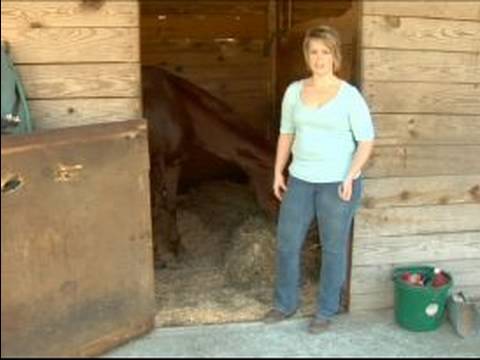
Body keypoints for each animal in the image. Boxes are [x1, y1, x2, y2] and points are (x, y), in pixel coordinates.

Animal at [142, 65, 278, 268]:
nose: (279, 222)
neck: (177, 106)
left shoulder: (164, 164)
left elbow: (161, 205)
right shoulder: (166, 163)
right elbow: (164, 206)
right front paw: (167, 251)